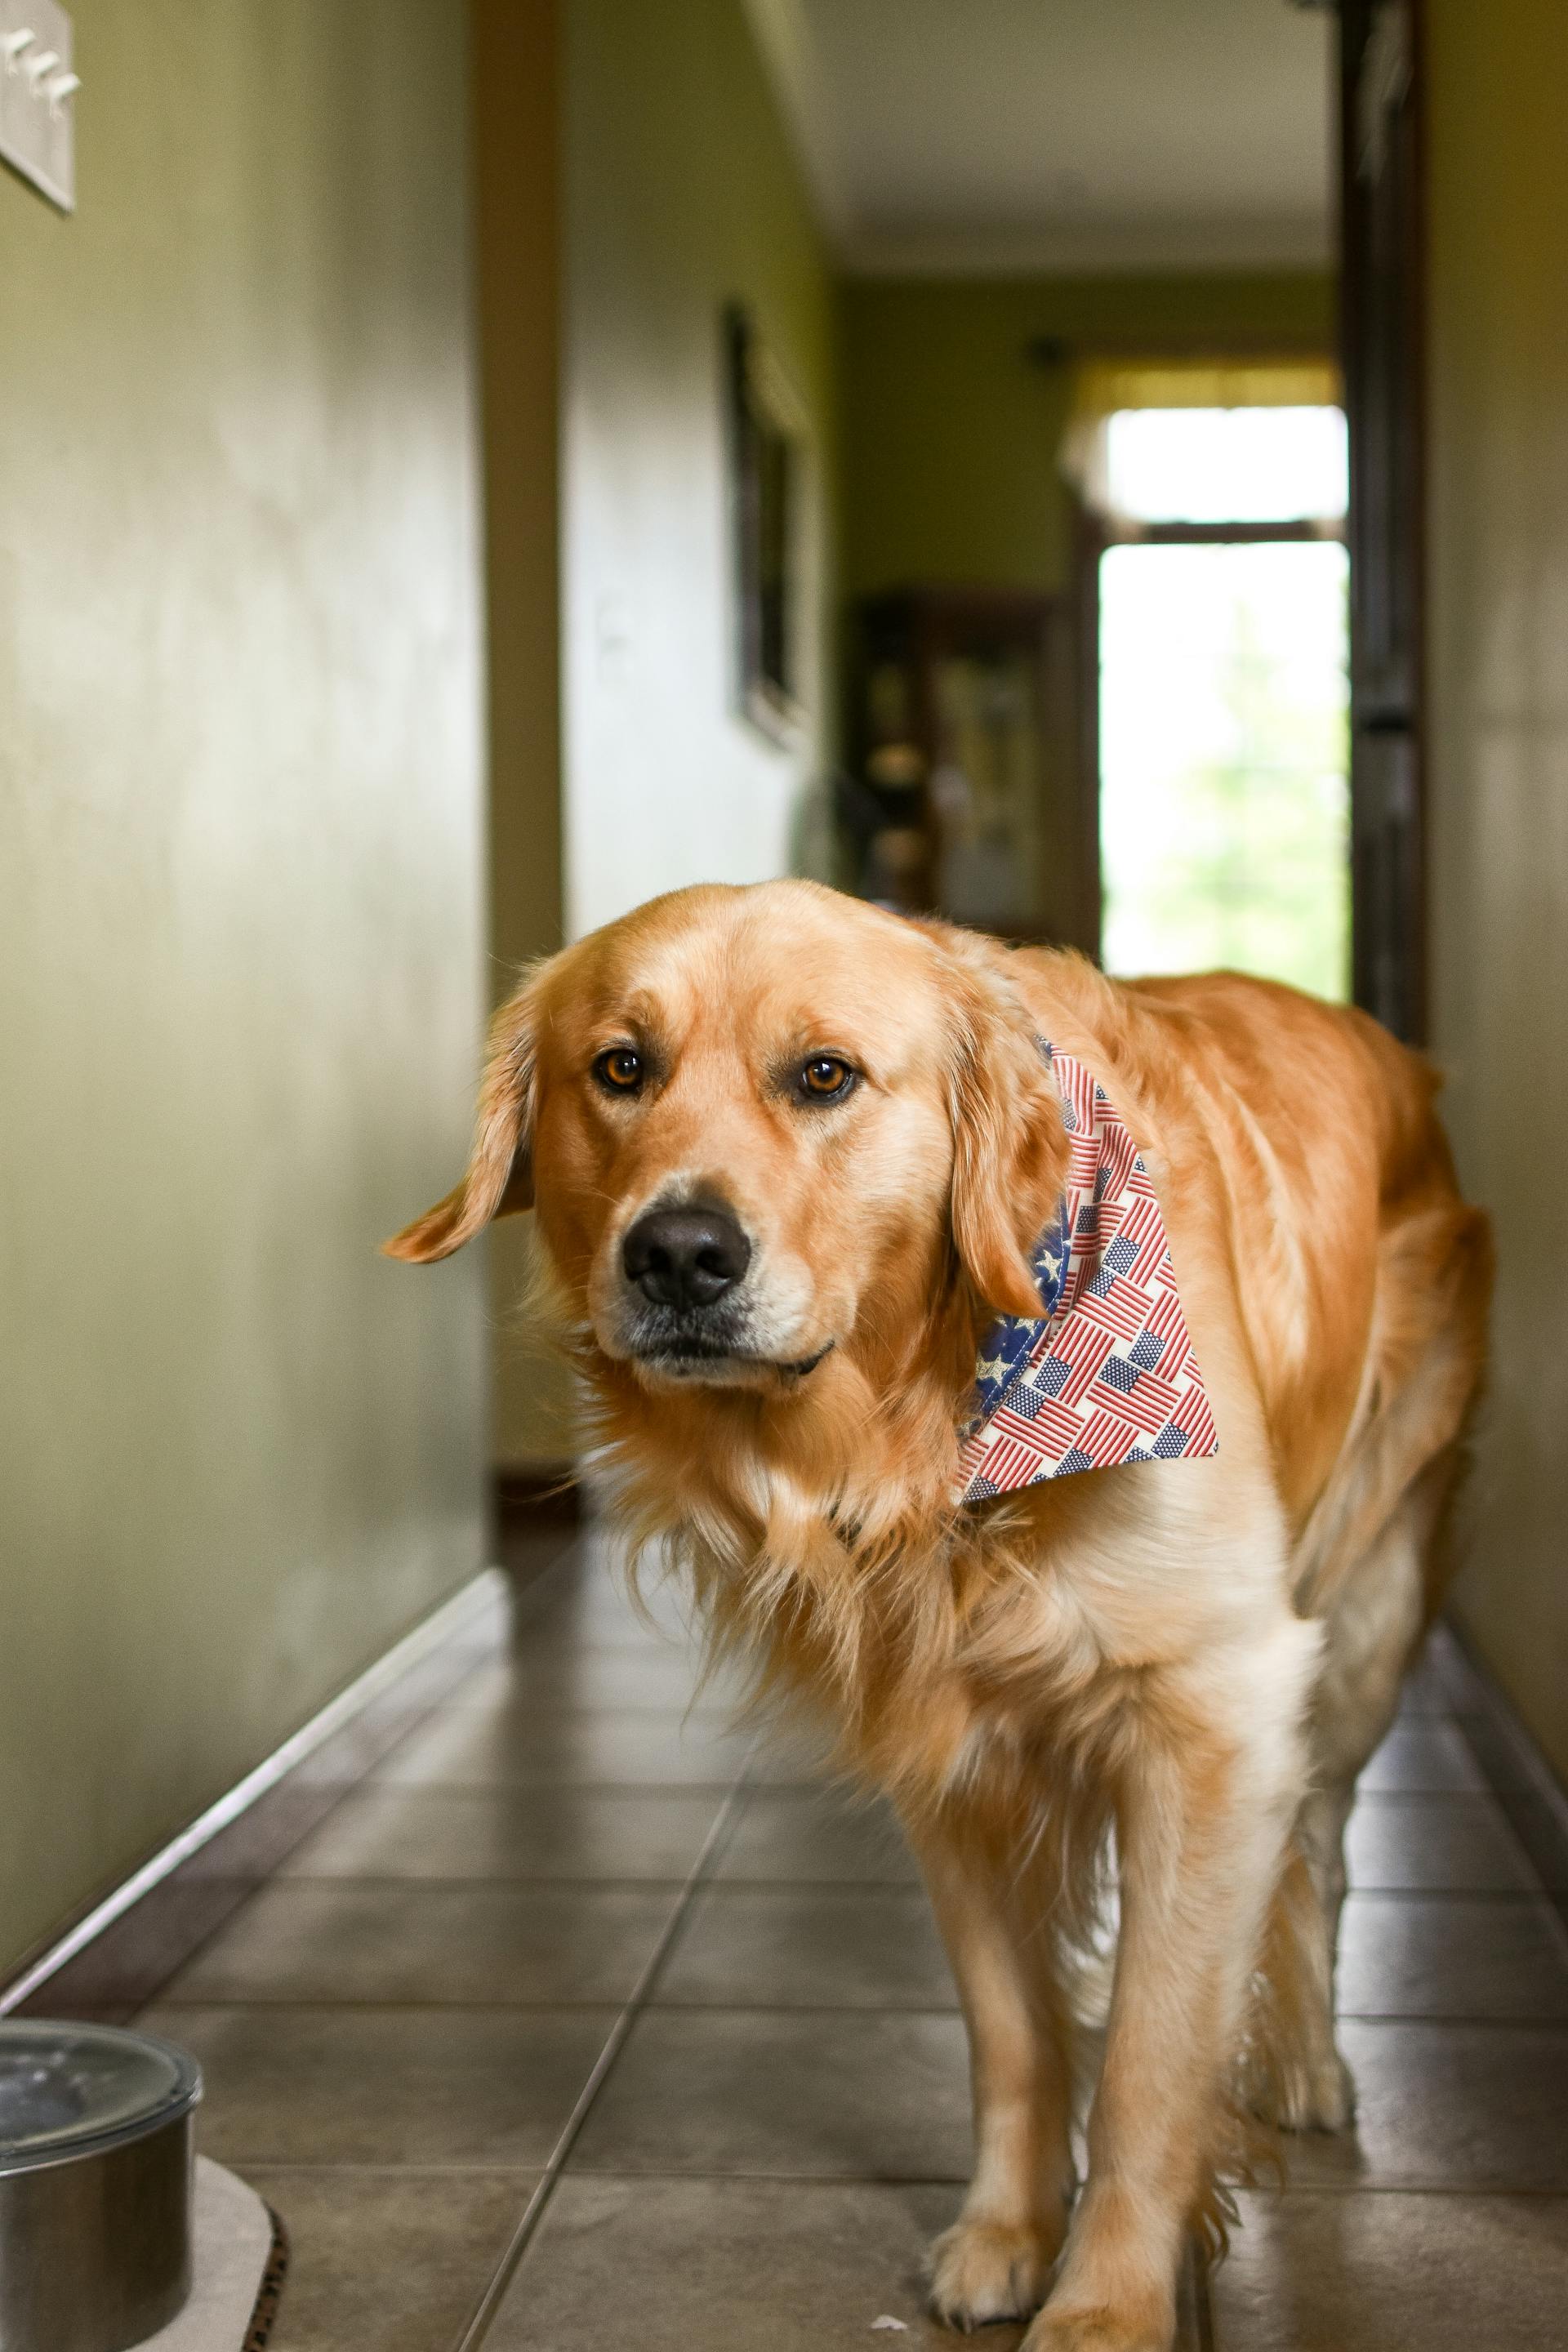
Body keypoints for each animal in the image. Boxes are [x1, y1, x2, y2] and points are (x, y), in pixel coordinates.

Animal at [385, 884, 1494, 2352]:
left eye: (824, 1077)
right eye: (621, 1069)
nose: (679, 1255)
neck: (921, 1440)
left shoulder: (1218, 1711)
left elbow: (1148, 2065)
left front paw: (1110, 2305)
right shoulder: (949, 1753)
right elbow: (1015, 2036)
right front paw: (1010, 2237)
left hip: (1363, 1624)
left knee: (1317, 1847)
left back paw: (1309, 2063)